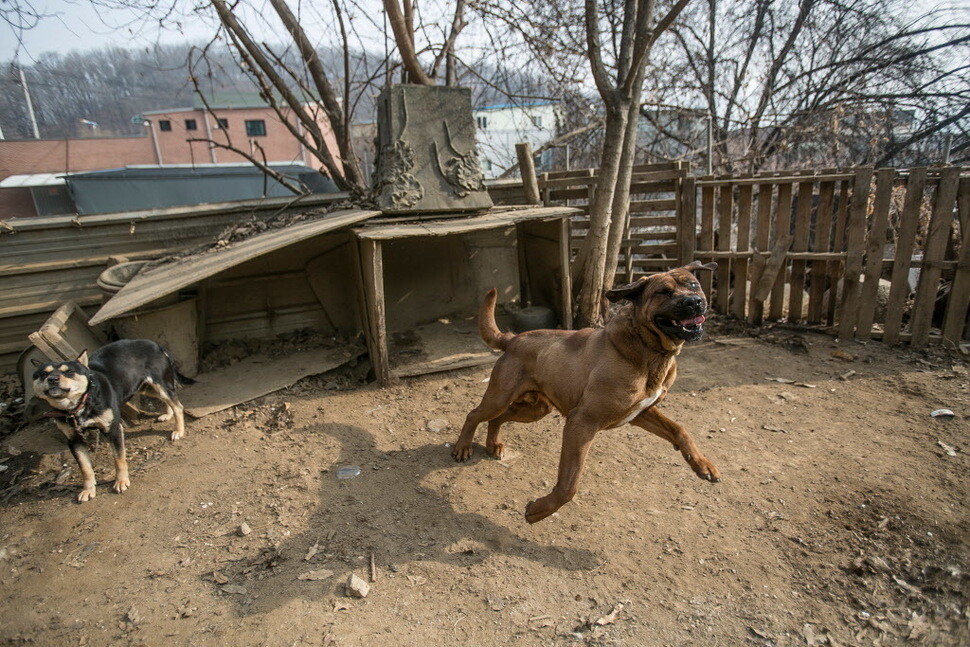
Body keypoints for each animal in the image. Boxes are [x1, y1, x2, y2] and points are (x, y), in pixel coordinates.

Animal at [30, 342, 193, 504]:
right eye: (43, 374)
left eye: (69, 372)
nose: (52, 379)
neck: (78, 407)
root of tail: (155, 345)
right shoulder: (74, 440)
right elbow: (85, 468)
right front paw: (88, 490)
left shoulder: (114, 430)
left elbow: (119, 459)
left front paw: (121, 481)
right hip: (144, 388)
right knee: (169, 401)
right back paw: (168, 414)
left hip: (159, 384)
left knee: (178, 406)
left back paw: (178, 430)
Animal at [452, 260, 720, 524]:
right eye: (663, 292)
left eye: (693, 284)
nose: (693, 301)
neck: (649, 351)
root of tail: (512, 339)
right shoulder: (581, 423)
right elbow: (569, 484)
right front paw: (541, 509)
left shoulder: (642, 413)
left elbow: (679, 430)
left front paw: (702, 465)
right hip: (499, 397)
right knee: (474, 414)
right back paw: (462, 447)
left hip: (535, 409)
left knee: (498, 418)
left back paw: (493, 444)